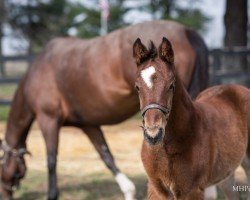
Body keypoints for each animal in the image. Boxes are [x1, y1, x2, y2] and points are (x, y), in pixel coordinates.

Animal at [0, 19, 208, 199]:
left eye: (1, 165)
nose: (5, 194)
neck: (38, 72)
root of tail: (187, 32)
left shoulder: (48, 119)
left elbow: (51, 160)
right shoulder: (88, 125)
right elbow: (106, 155)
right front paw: (128, 191)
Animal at [133, 36, 250, 199]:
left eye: (171, 85)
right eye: (137, 87)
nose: (153, 135)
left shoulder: (192, 190)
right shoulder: (156, 189)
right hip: (226, 172)